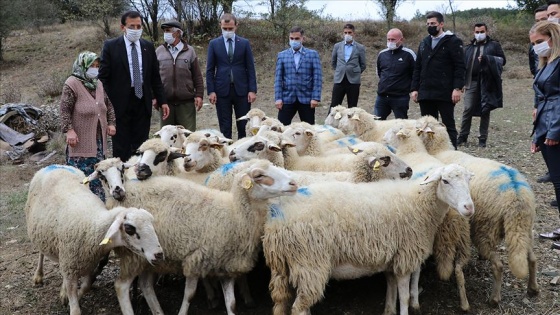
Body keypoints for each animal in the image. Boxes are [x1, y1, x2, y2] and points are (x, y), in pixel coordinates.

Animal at [25, 164, 163, 315]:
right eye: (129, 229)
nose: (159, 254)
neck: (93, 224)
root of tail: (55, 165)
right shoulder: (70, 266)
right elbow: (75, 308)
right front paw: (69, 299)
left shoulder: (87, 262)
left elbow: (86, 286)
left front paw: (72, 295)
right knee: (41, 253)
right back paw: (38, 276)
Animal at [95, 160, 298, 315]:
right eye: (259, 175)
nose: (294, 184)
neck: (234, 214)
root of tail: (120, 192)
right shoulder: (195, 260)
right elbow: (190, 295)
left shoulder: (226, 264)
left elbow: (231, 303)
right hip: (133, 254)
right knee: (121, 286)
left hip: (150, 257)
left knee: (145, 285)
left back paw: (158, 311)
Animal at [264, 165, 474, 315]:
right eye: (445, 181)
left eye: (468, 180)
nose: (469, 208)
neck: (419, 203)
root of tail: (276, 223)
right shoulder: (405, 258)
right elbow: (404, 297)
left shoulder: (392, 258)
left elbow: (391, 289)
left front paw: (388, 310)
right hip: (310, 265)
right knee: (299, 307)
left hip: (289, 268)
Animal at [416, 116, 540, 306]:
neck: (440, 150)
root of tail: (515, 192)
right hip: (525, 227)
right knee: (532, 259)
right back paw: (533, 288)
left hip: (485, 228)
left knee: (498, 265)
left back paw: (494, 298)